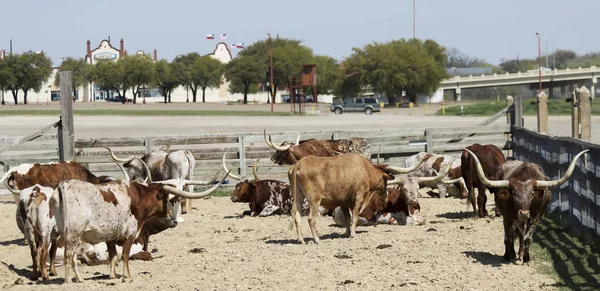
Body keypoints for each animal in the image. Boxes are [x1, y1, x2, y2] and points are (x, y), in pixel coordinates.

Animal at [48, 163, 227, 284]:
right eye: (165, 198)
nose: (172, 218)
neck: (138, 197)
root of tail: (63, 186)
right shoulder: (129, 234)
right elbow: (125, 255)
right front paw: (127, 276)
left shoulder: (110, 237)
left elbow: (113, 257)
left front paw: (113, 275)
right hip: (73, 235)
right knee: (70, 255)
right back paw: (72, 279)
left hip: (66, 234)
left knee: (70, 256)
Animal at [288, 154, 428, 245]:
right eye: (385, 179)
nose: (386, 193)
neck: (365, 169)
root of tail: (300, 163)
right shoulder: (359, 198)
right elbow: (354, 217)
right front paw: (353, 234)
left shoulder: (343, 202)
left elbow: (347, 218)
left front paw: (347, 233)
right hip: (314, 200)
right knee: (311, 218)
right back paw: (317, 239)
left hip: (298, 196)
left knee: (296, 215)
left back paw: (301, 240)